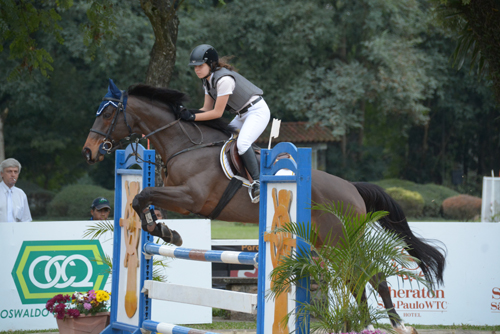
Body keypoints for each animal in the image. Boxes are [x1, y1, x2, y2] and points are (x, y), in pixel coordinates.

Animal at [82, 79, 446, 330]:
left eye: (110, 112)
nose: (89, 151)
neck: (184, 145)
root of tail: (352, 189)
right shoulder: (172, 192)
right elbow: (144, 200)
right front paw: (165, 231)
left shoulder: (191, 199)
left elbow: (142, 197)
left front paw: (168, 234)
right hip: (327, 243)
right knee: (357, 279)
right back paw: (367, 325)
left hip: (339, 239)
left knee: (370, 275)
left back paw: (398, 326)